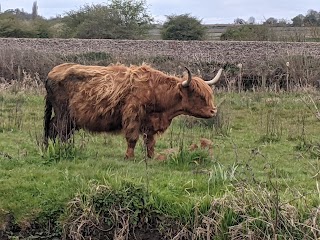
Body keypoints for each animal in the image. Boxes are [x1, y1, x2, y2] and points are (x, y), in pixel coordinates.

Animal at [43, 62, 222, 158]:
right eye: (198, 95)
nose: (213, 111)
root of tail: (52, 72)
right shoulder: (132, 115)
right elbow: (132, 138)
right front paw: (129, 156)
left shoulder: (150, 122)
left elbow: (150, 141)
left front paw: (151, 156)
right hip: (64, 114)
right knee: (60, 131)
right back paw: (64, 149)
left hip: (67, 117)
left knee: (53, 129)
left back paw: (49, 148)